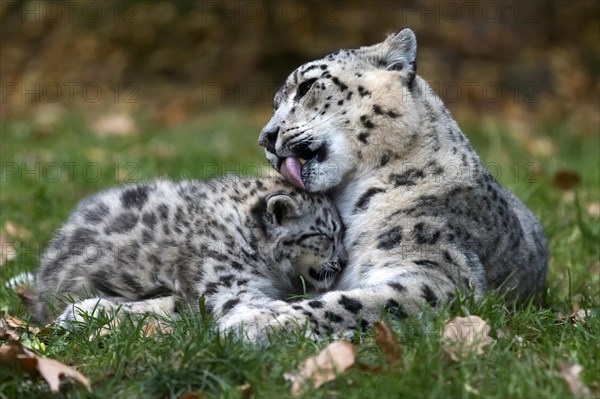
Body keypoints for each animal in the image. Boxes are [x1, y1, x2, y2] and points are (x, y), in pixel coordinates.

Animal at [233, 28, 544, 340]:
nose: (266, 138)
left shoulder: (438, 273)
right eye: (275, 103)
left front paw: (259, 323)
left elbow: (354, 303)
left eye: (307, 86)